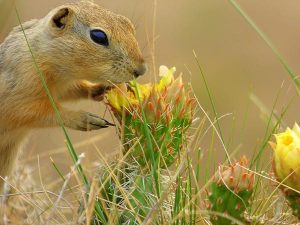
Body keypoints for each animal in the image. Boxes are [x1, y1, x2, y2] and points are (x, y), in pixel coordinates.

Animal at [0, 0, 146, 189]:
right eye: (98, 36)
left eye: (127, 23)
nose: (141, 70)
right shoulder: (20, 94)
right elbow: (38, 112)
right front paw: (85, 119)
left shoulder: (64, 86)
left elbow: (75, 90)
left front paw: (101, 89)